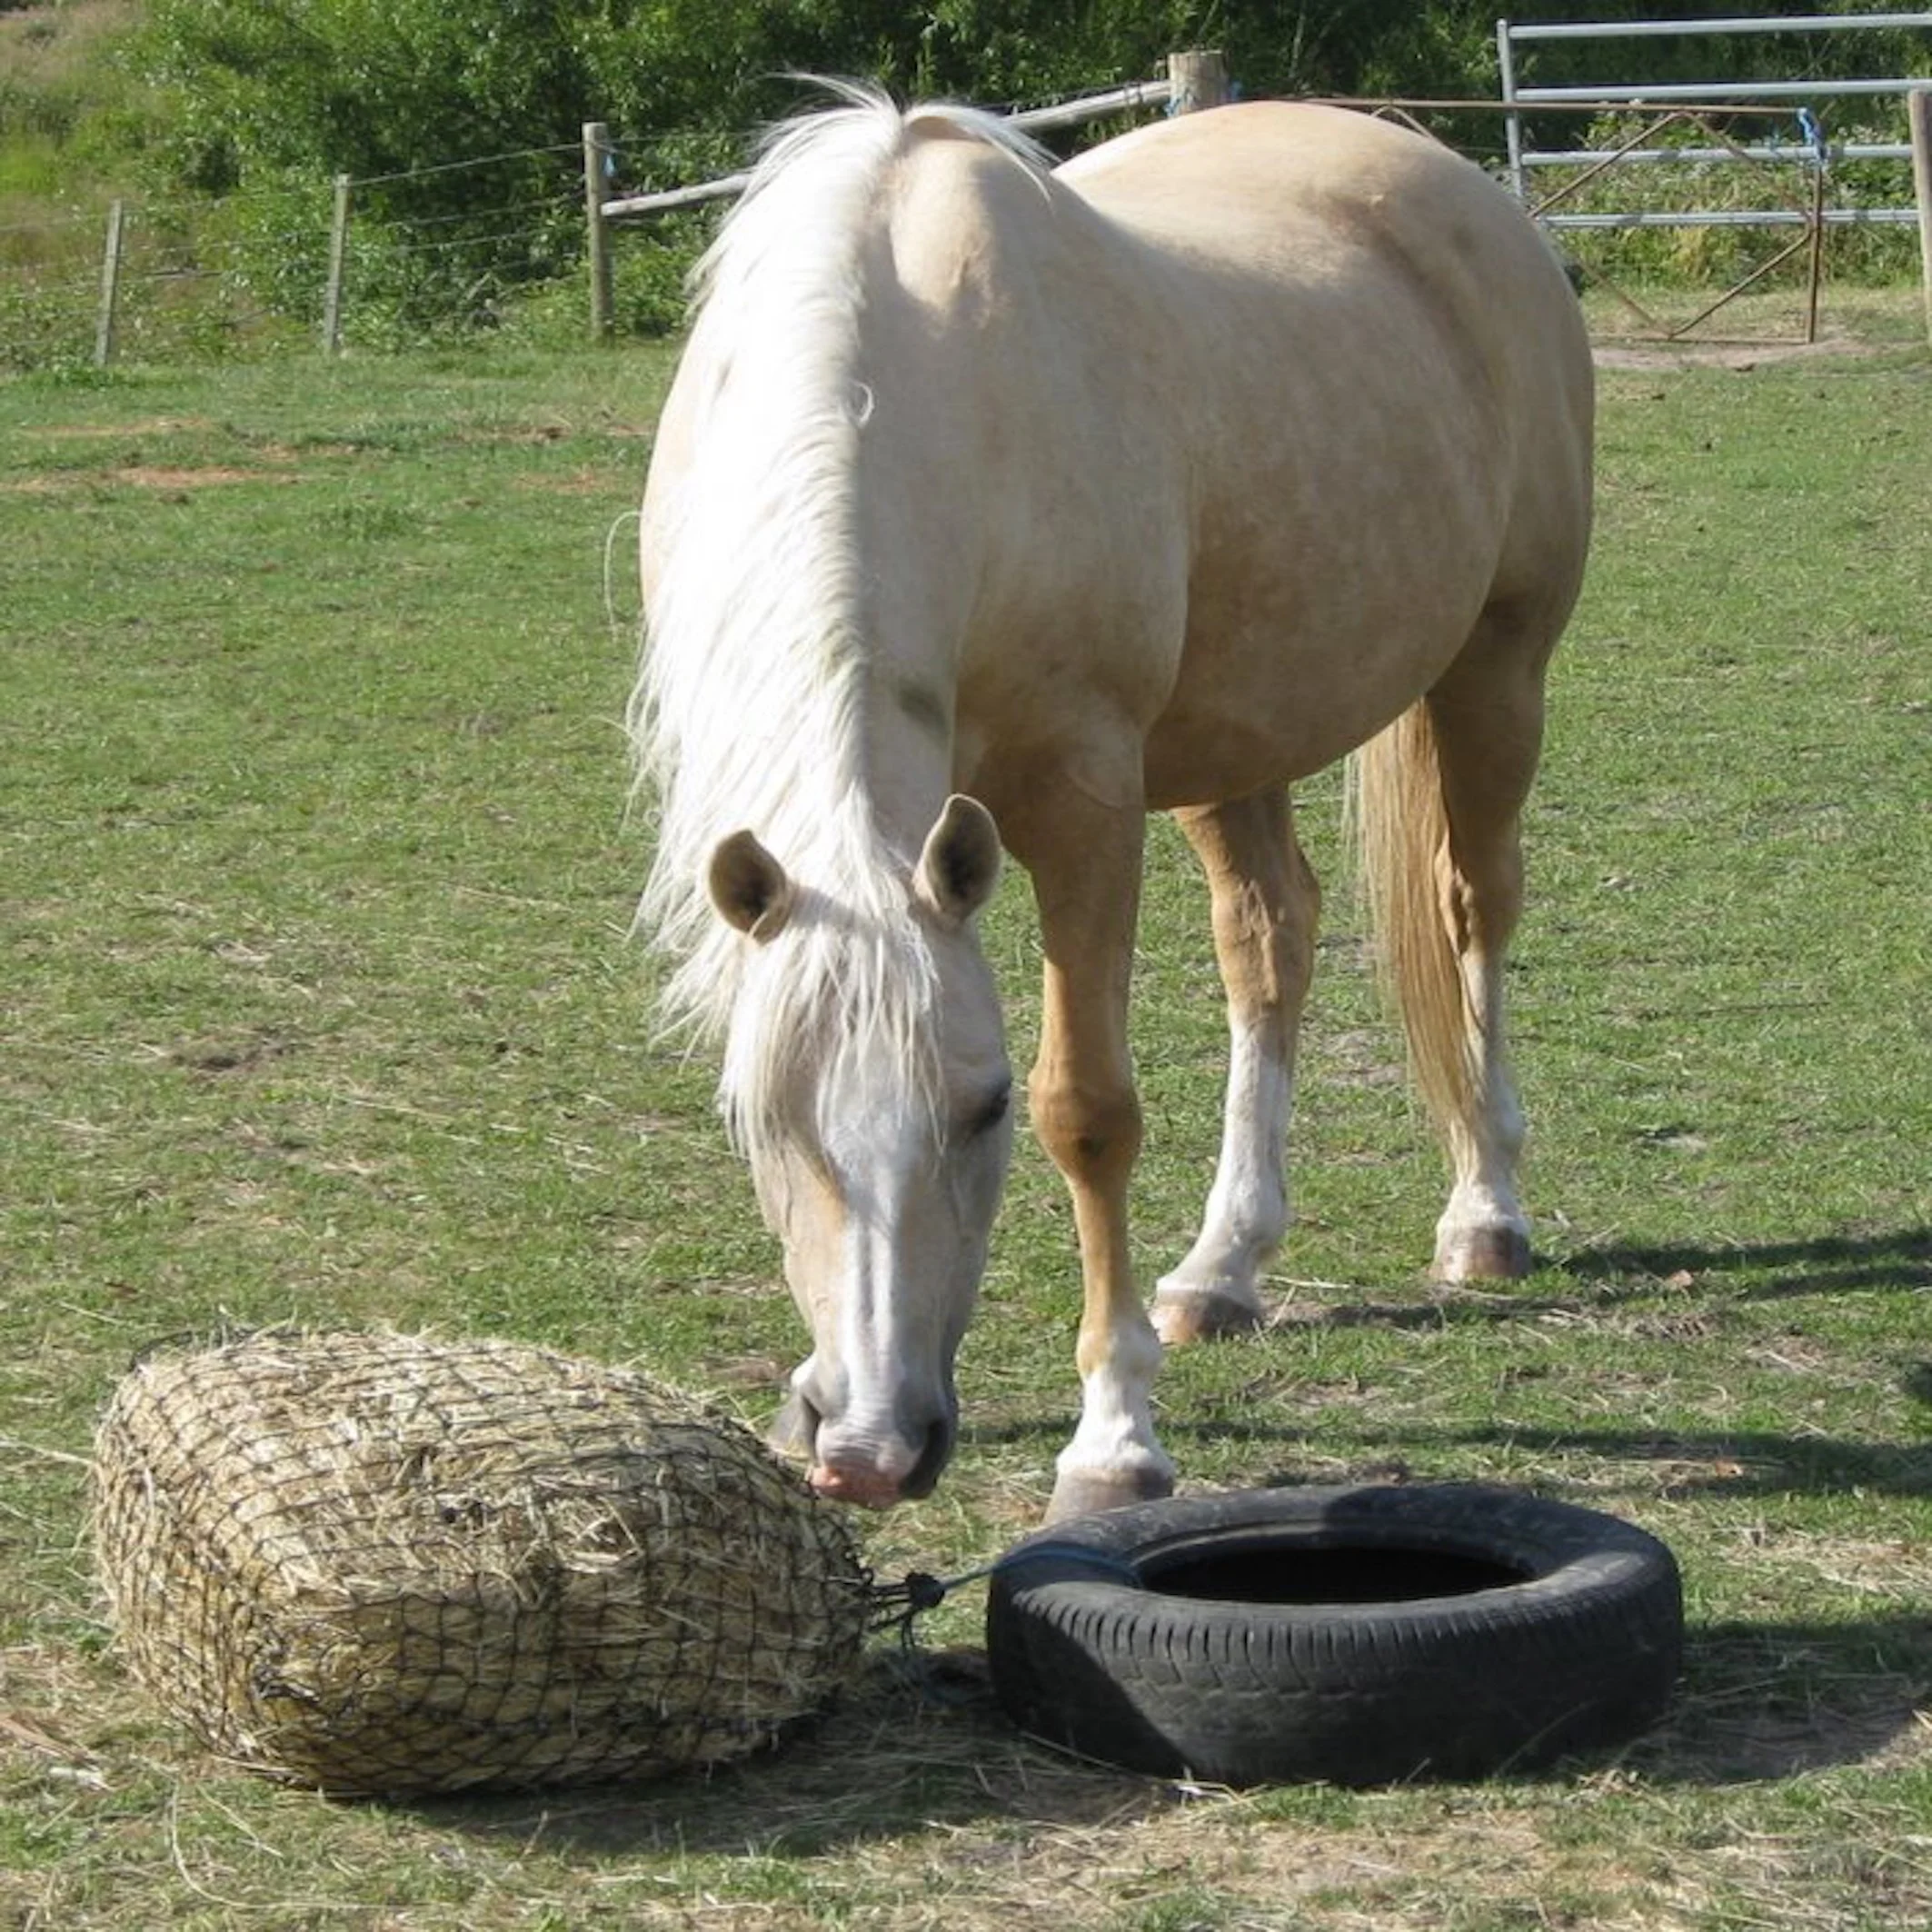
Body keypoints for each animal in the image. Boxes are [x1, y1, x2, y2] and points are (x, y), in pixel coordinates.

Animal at [630, 86, 1593, 1522]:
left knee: (1473, 907)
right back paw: (1222, 1267)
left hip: (1493, 671)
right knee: (1271, 938)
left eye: (977, 1107)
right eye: (760, 1117)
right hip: (1235, 737)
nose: (869, 1449)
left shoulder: (1083, 806)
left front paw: (1113, 1439)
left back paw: (1484, 1211)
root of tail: (1454, 181)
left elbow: (1086, 1109)